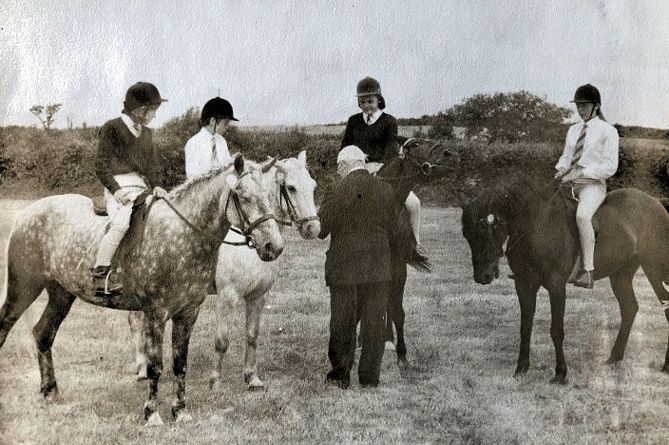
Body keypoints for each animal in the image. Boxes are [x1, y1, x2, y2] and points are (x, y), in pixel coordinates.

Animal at [0, 155, 284, 424]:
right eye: (244, 196)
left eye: (269, 195)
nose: (274, 246)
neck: (182, 234)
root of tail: (27, 212)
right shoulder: (156, 313)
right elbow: (155, 366)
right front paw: (152, 414)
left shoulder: (188, 313)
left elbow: (180, 364)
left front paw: (180, 411)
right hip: (23, 288)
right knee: (6, 326)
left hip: (61, 294)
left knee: (43, 333)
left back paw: (50, 391)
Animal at [460, 179, 669, 384]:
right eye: (466, 234)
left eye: (488, 229)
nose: (482, 276)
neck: (537, 224)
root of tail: (657, 204)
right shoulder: (524, 285)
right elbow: (525, 327)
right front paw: (521, 369)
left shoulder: (556, 286)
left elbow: (556, 330)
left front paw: (560, 373)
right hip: (621, 274)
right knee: (629, 308)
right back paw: (613, 358)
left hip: (655, 270)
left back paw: (665, 366)